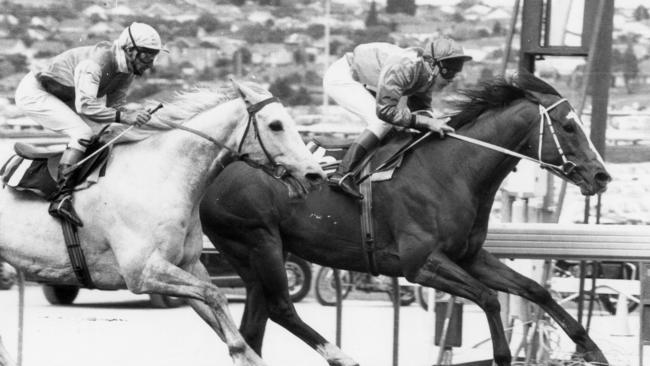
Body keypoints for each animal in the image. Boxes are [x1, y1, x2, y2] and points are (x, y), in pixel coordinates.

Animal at [201, 74, 608, 366]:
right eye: (568, 127)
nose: (602, 175)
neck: (452, 171)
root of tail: (218, 167)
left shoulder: (468, 256)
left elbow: (535, 289)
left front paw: (591, 348)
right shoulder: (421, 263)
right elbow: (489, 298)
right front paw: (504, 356)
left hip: (254, 256)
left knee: (253, 327)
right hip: (259, 241)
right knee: (280, 308)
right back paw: (340, 355)